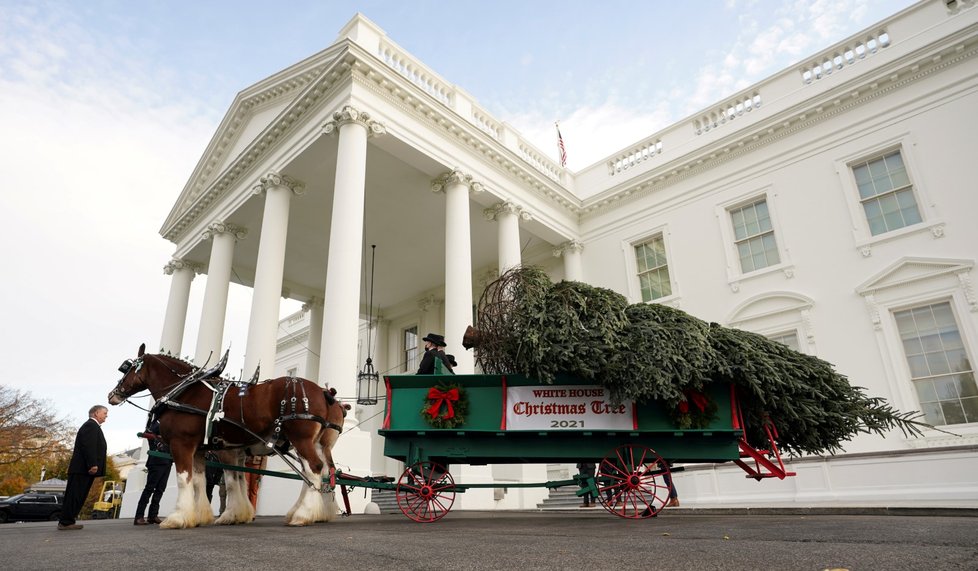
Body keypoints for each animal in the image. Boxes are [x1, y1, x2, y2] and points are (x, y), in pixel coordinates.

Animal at [108, 342, 346, 528]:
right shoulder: (205, 449)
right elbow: (204, 481)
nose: (112, 394)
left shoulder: (183, 444)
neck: (186, 392)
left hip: (301, 439)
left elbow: (189, 479)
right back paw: (316, 512)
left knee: (313, 469)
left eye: (127, 368)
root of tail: (323, 392)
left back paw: (303, 514)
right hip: (318, 444)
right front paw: (203, 516)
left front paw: (178, 517)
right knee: (324, 472)